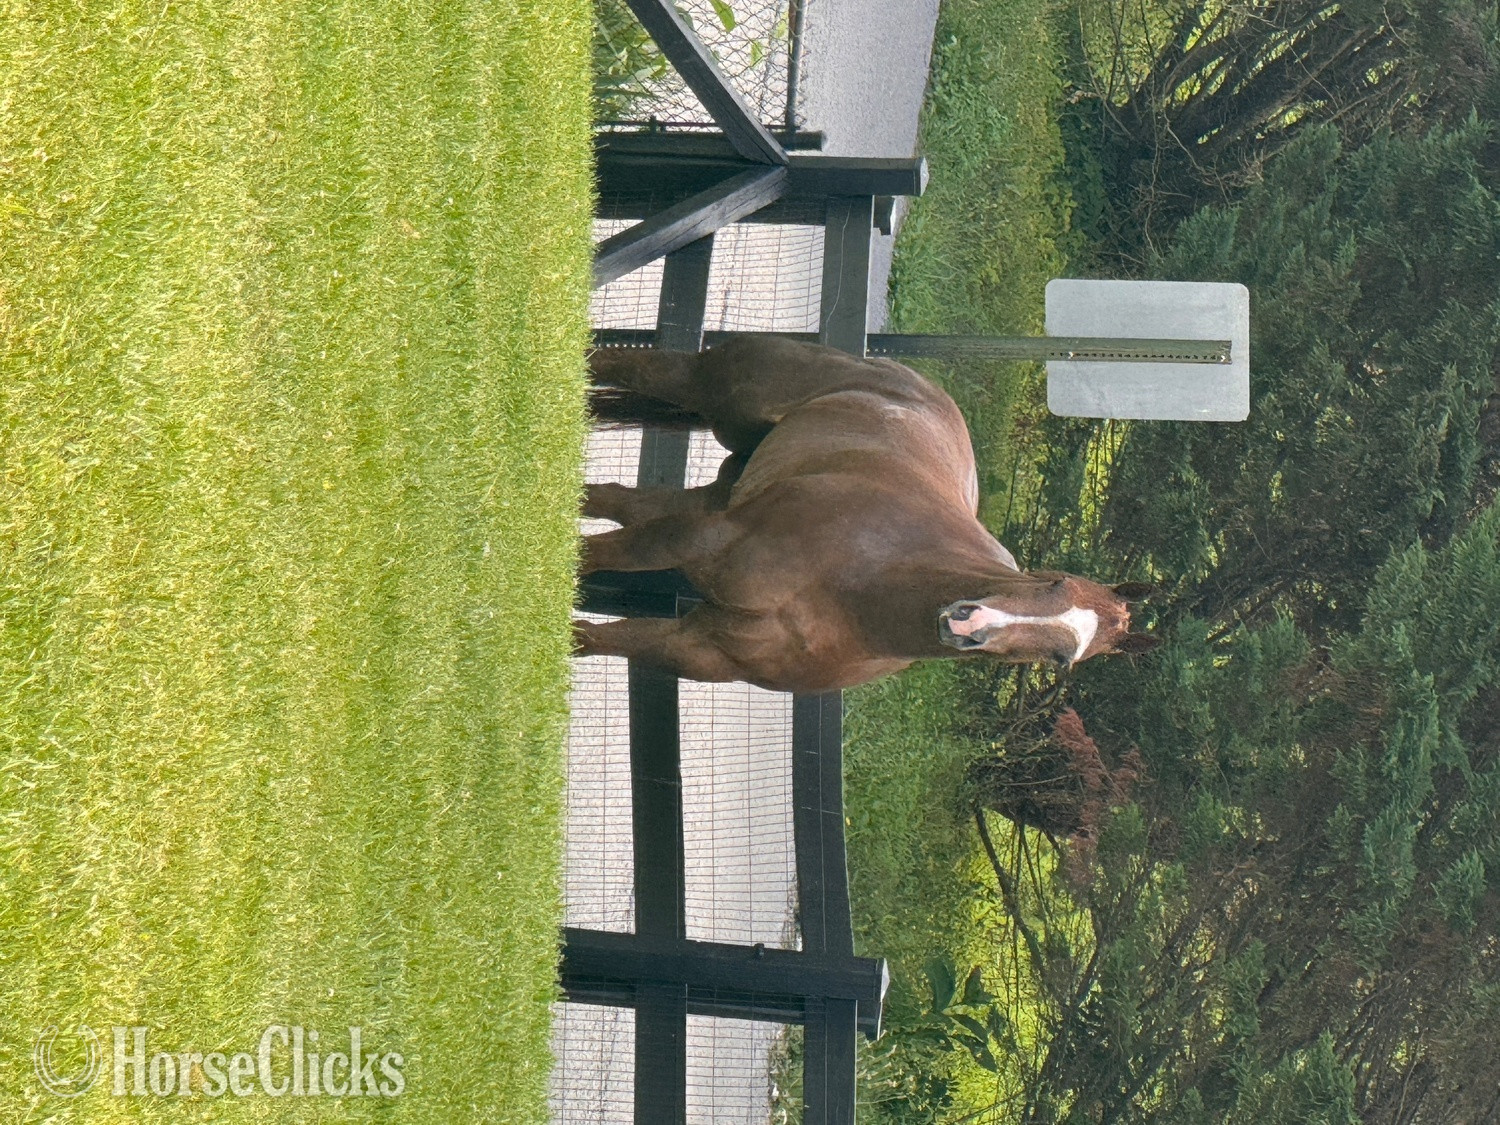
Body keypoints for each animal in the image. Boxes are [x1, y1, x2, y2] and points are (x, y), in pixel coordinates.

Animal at [575, 334, 1158, 693]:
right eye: (1053, 583)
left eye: (1063, 660)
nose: (969, 623)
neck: (857, 592)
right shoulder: (696, 540)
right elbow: (593, 558)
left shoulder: (693, 646)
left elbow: (592, 640)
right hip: (709, 393)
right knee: (623, 363)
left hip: (721, 487)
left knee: (619, 500)